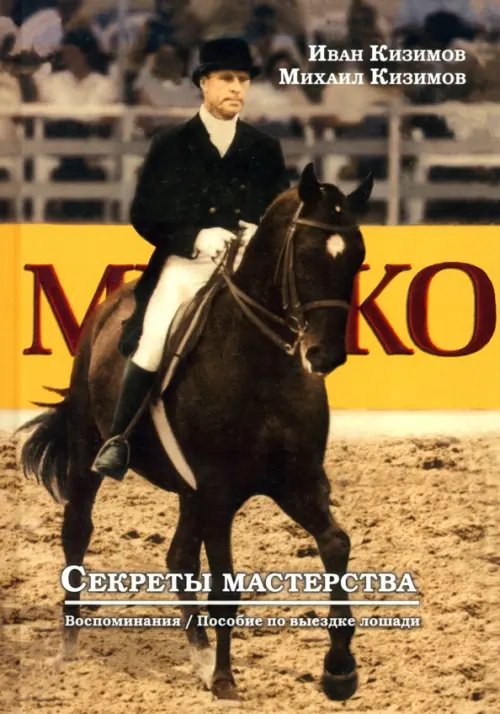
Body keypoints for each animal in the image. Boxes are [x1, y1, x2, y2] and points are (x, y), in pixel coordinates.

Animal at [20, 163, 372, 702]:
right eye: (307, 255)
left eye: (356, 257)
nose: (325, 354)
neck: (261, 369)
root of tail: (110, 307)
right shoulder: (218, 492)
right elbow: (224, 584)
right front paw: (226, 680)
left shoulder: (299, 483)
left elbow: (335, 545)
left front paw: (339, 670)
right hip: (88, 454)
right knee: (78, 532)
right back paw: (71, 647)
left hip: (189, 492)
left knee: (179, 557)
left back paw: (200, 655)